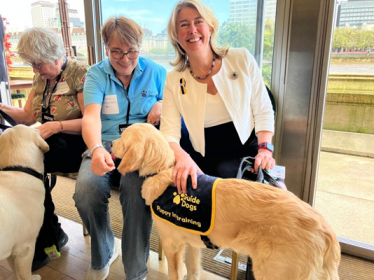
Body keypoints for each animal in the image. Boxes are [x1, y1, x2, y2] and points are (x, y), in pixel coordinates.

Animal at [0, 126, 49, 278]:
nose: (38, 128)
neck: (18, 169)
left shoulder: (12, 251)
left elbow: (16, 273)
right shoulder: (25, 249)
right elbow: (25, 275)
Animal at [110, 124, 338, 280]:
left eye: (122, 137)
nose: (110, 143)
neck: (162, 171)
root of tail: (327, 232)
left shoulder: (172, 244)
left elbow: (175, 273)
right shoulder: (193, 243)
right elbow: (193, 271)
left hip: (274, 270)